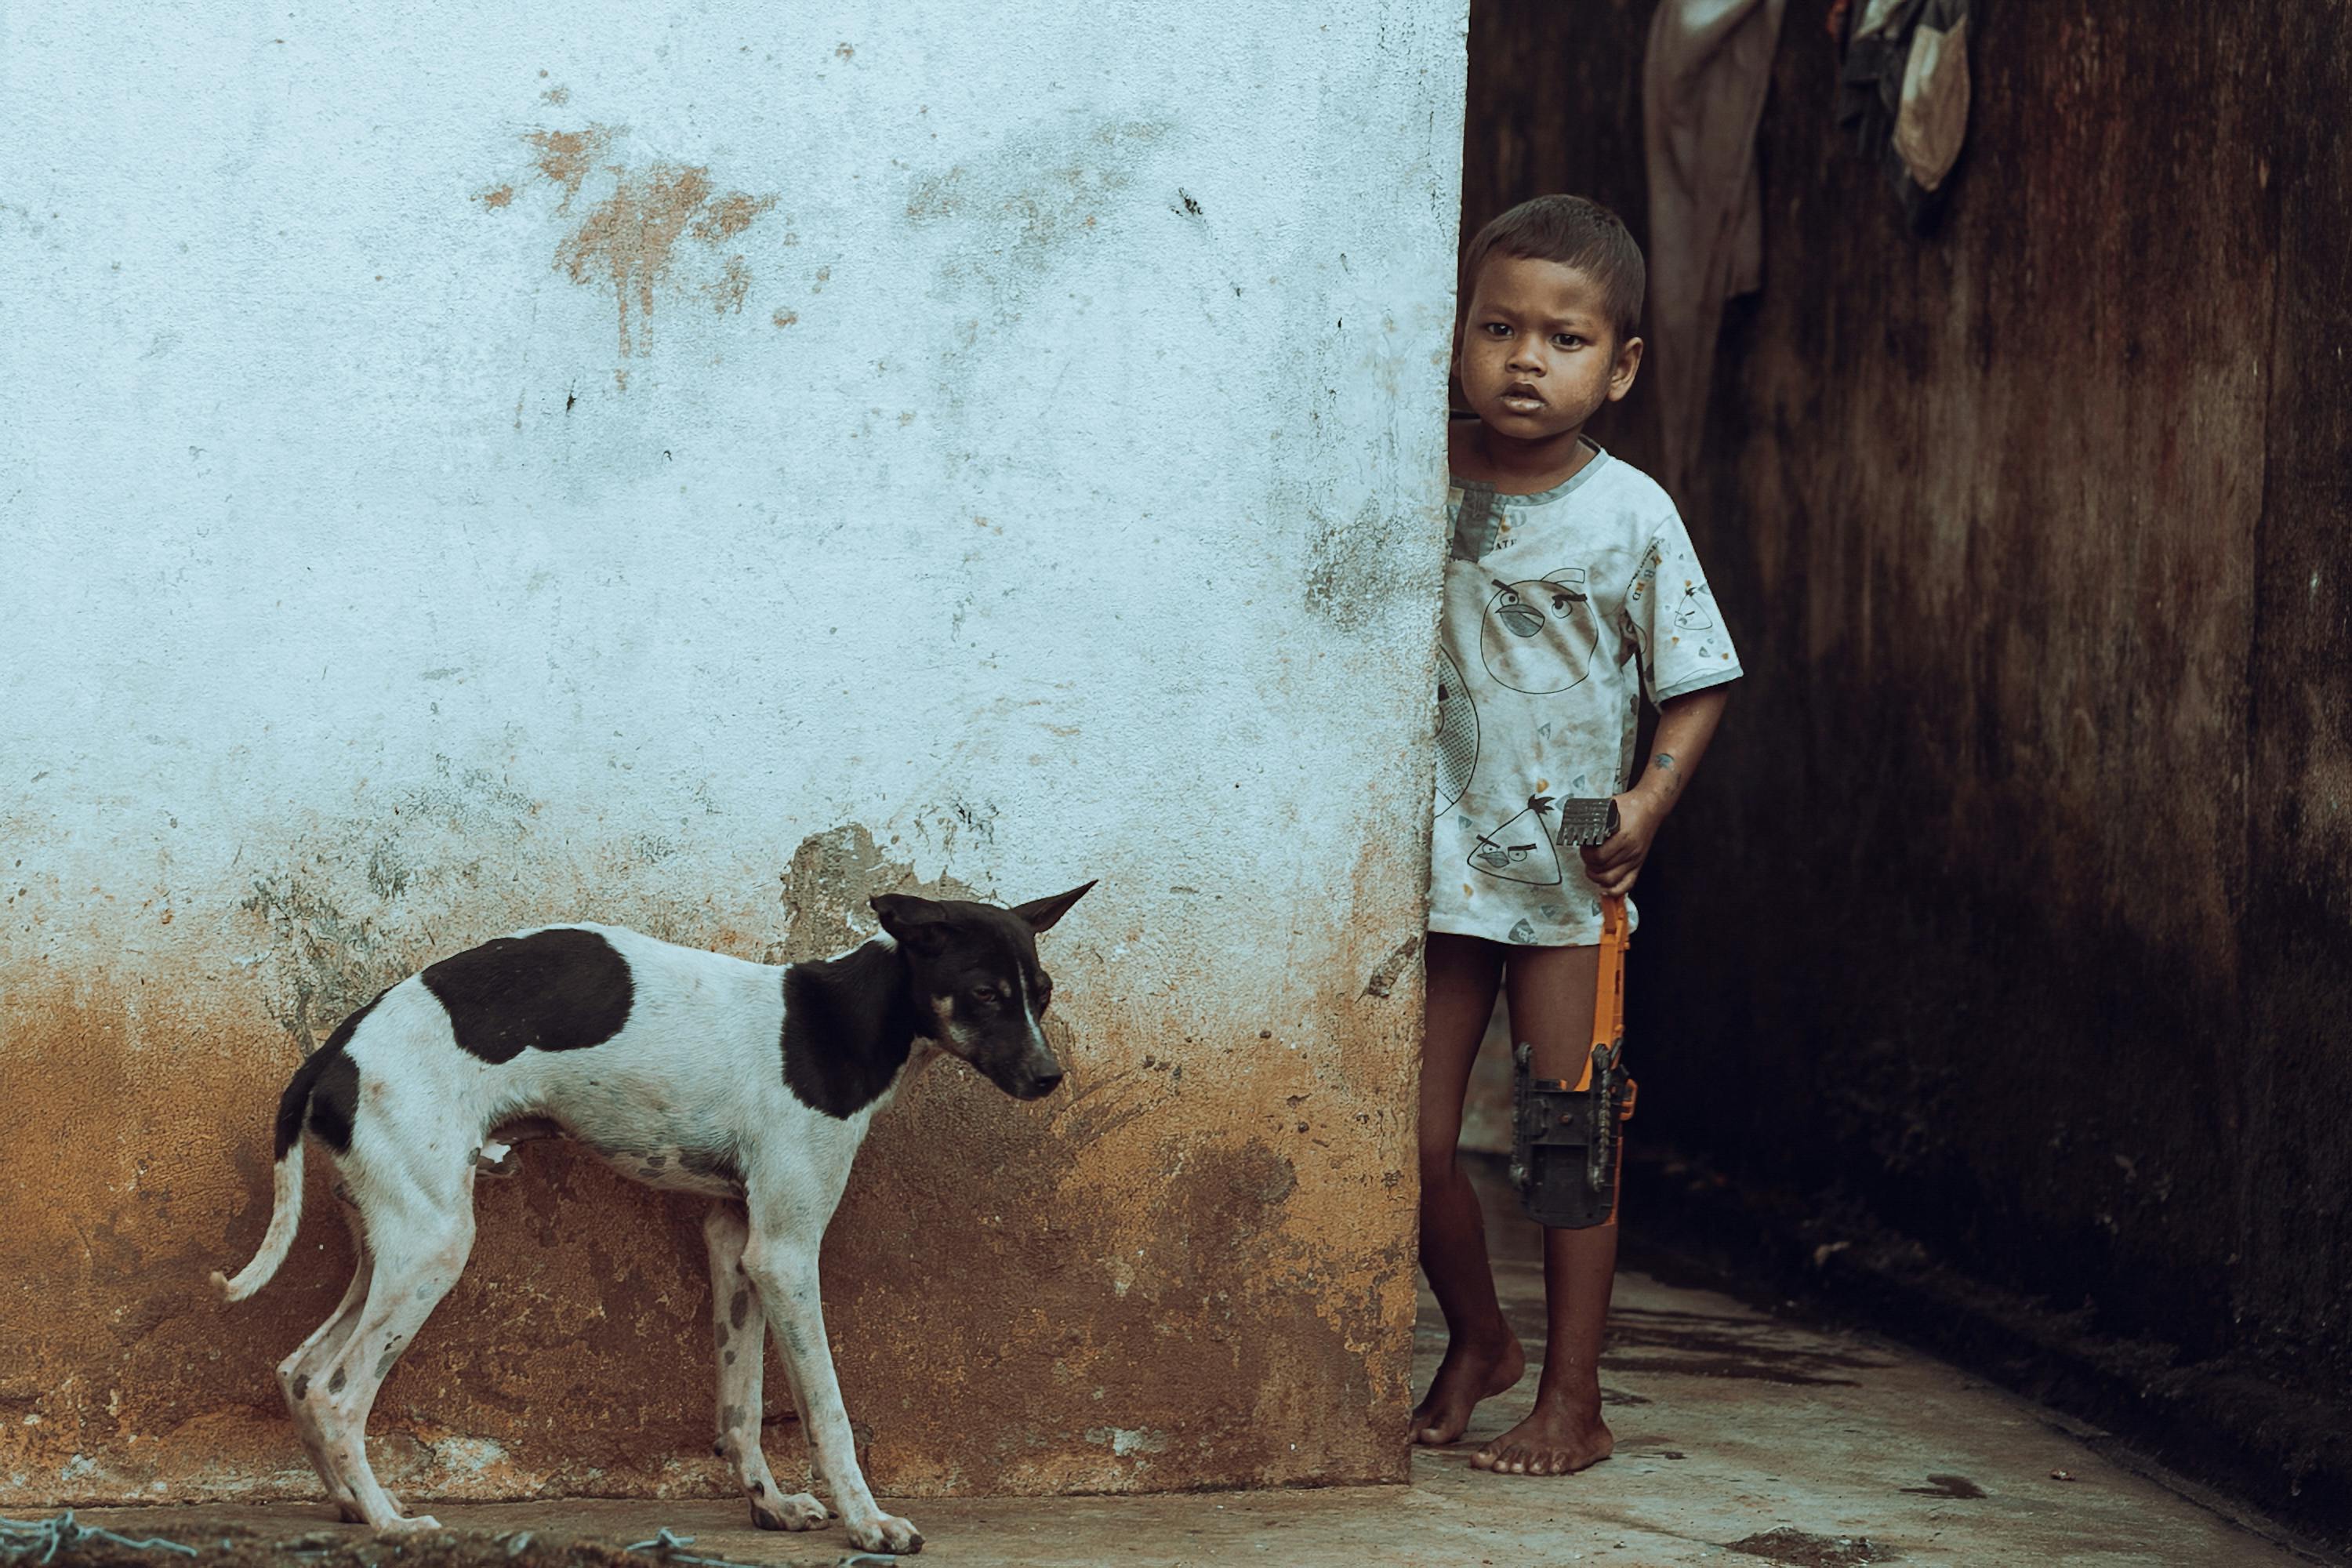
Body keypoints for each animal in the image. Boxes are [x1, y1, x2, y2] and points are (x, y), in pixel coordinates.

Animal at [212, 884, 1091, 1561]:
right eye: (984, 992)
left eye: (1042, 991)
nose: (1049, 1077)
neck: (842, 1021)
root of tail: (338, 1047)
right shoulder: (785, 1253)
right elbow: (828, 1412)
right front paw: (868, 1521)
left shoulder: (736, 1243)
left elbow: (740, 1403)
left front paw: (770, 1503)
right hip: (434, 1248)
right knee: (337, 1391)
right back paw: (393, 1524)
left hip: (392, 1244)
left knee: (298, 1370)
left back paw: (354, 1506)